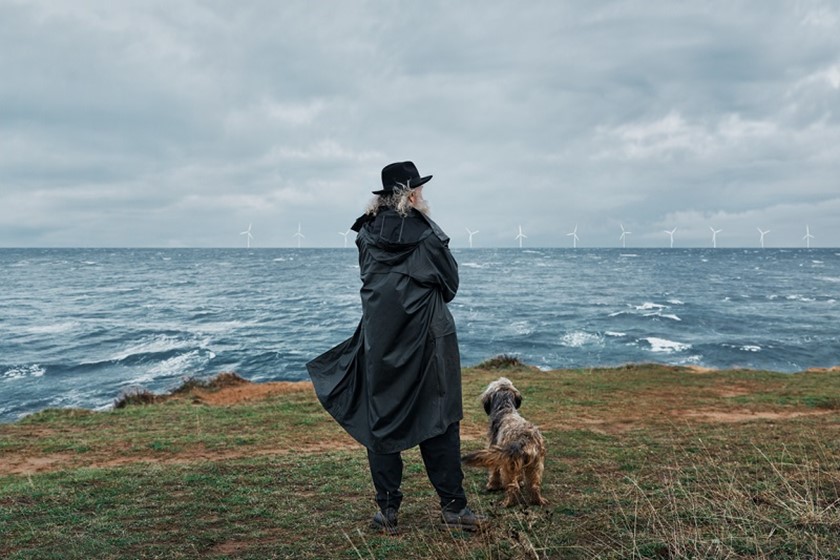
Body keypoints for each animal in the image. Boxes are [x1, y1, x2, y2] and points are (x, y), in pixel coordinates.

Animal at [462, 376, 548, 508]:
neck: (505, 409)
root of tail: (525, 439)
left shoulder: (495, 449)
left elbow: (494, 470)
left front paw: (492, 485)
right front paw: (521, 481)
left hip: (508, 464)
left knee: (513, 487)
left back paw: (507, 502)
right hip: (536, 464)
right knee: (534, 485)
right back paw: (537, 500)